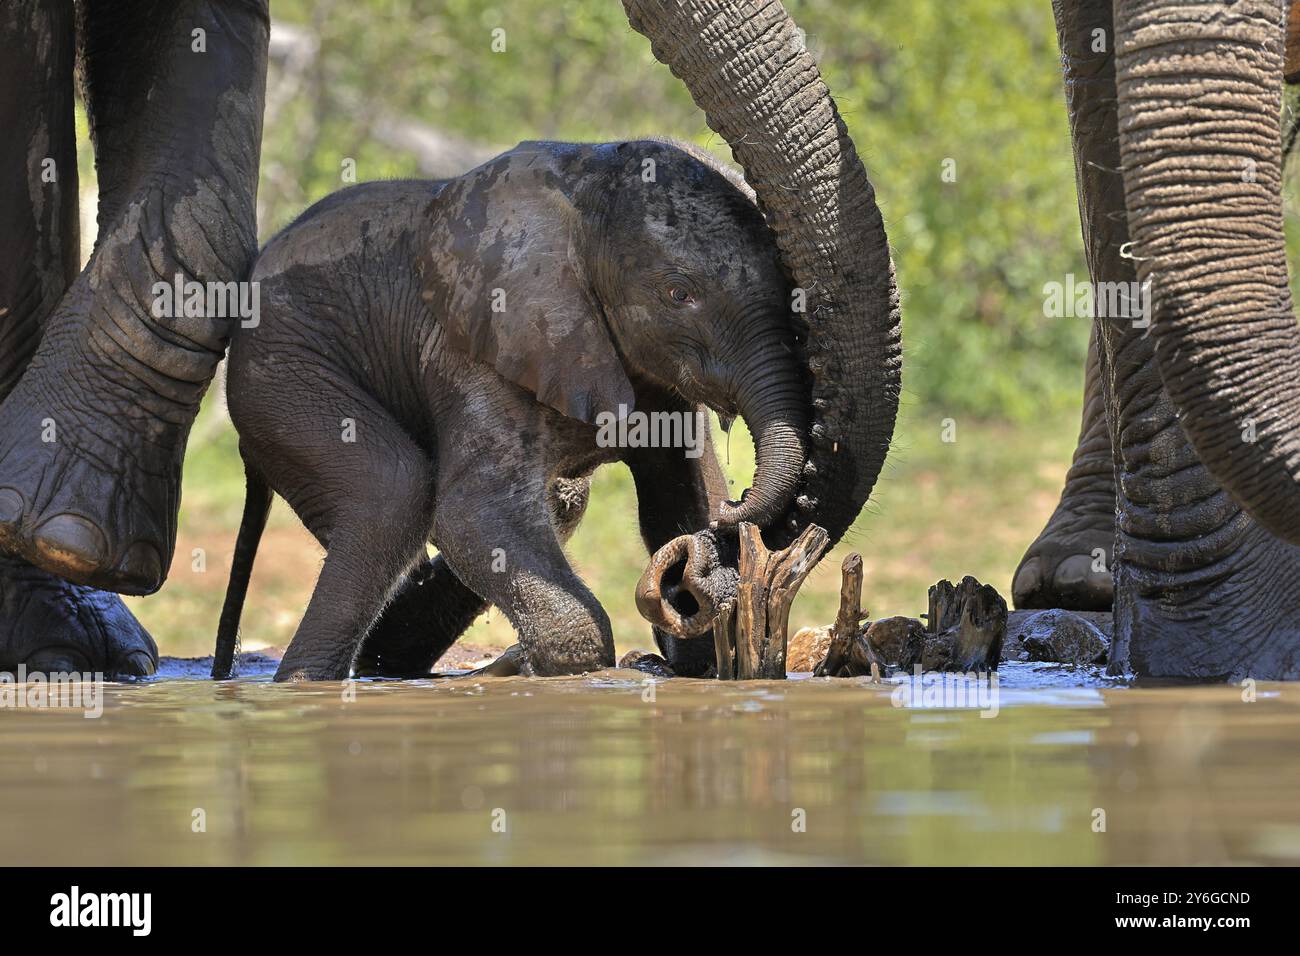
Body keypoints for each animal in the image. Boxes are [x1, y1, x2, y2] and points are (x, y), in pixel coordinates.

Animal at [213, 140, 800, 681]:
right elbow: (474, 514)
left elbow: (679, 493)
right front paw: (580, 670)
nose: (735, 513)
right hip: (280, 371)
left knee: (560, 498)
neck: (582, 185)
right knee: (391, 492)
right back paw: (307, 685)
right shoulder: (477, 343)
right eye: (679, 294)